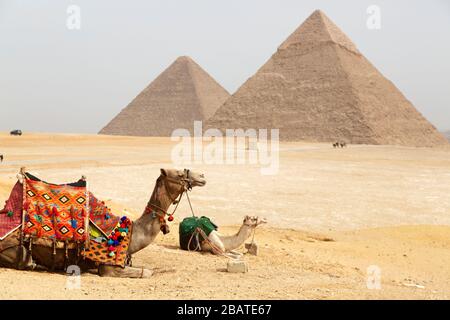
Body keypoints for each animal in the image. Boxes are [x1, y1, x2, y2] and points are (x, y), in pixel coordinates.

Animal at [0, 168, 207, 278]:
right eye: (179, 174)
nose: (202, 177)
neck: (131, 233)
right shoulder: (108, 267)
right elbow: (147, 272)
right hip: (18, 250)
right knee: (26, 260)